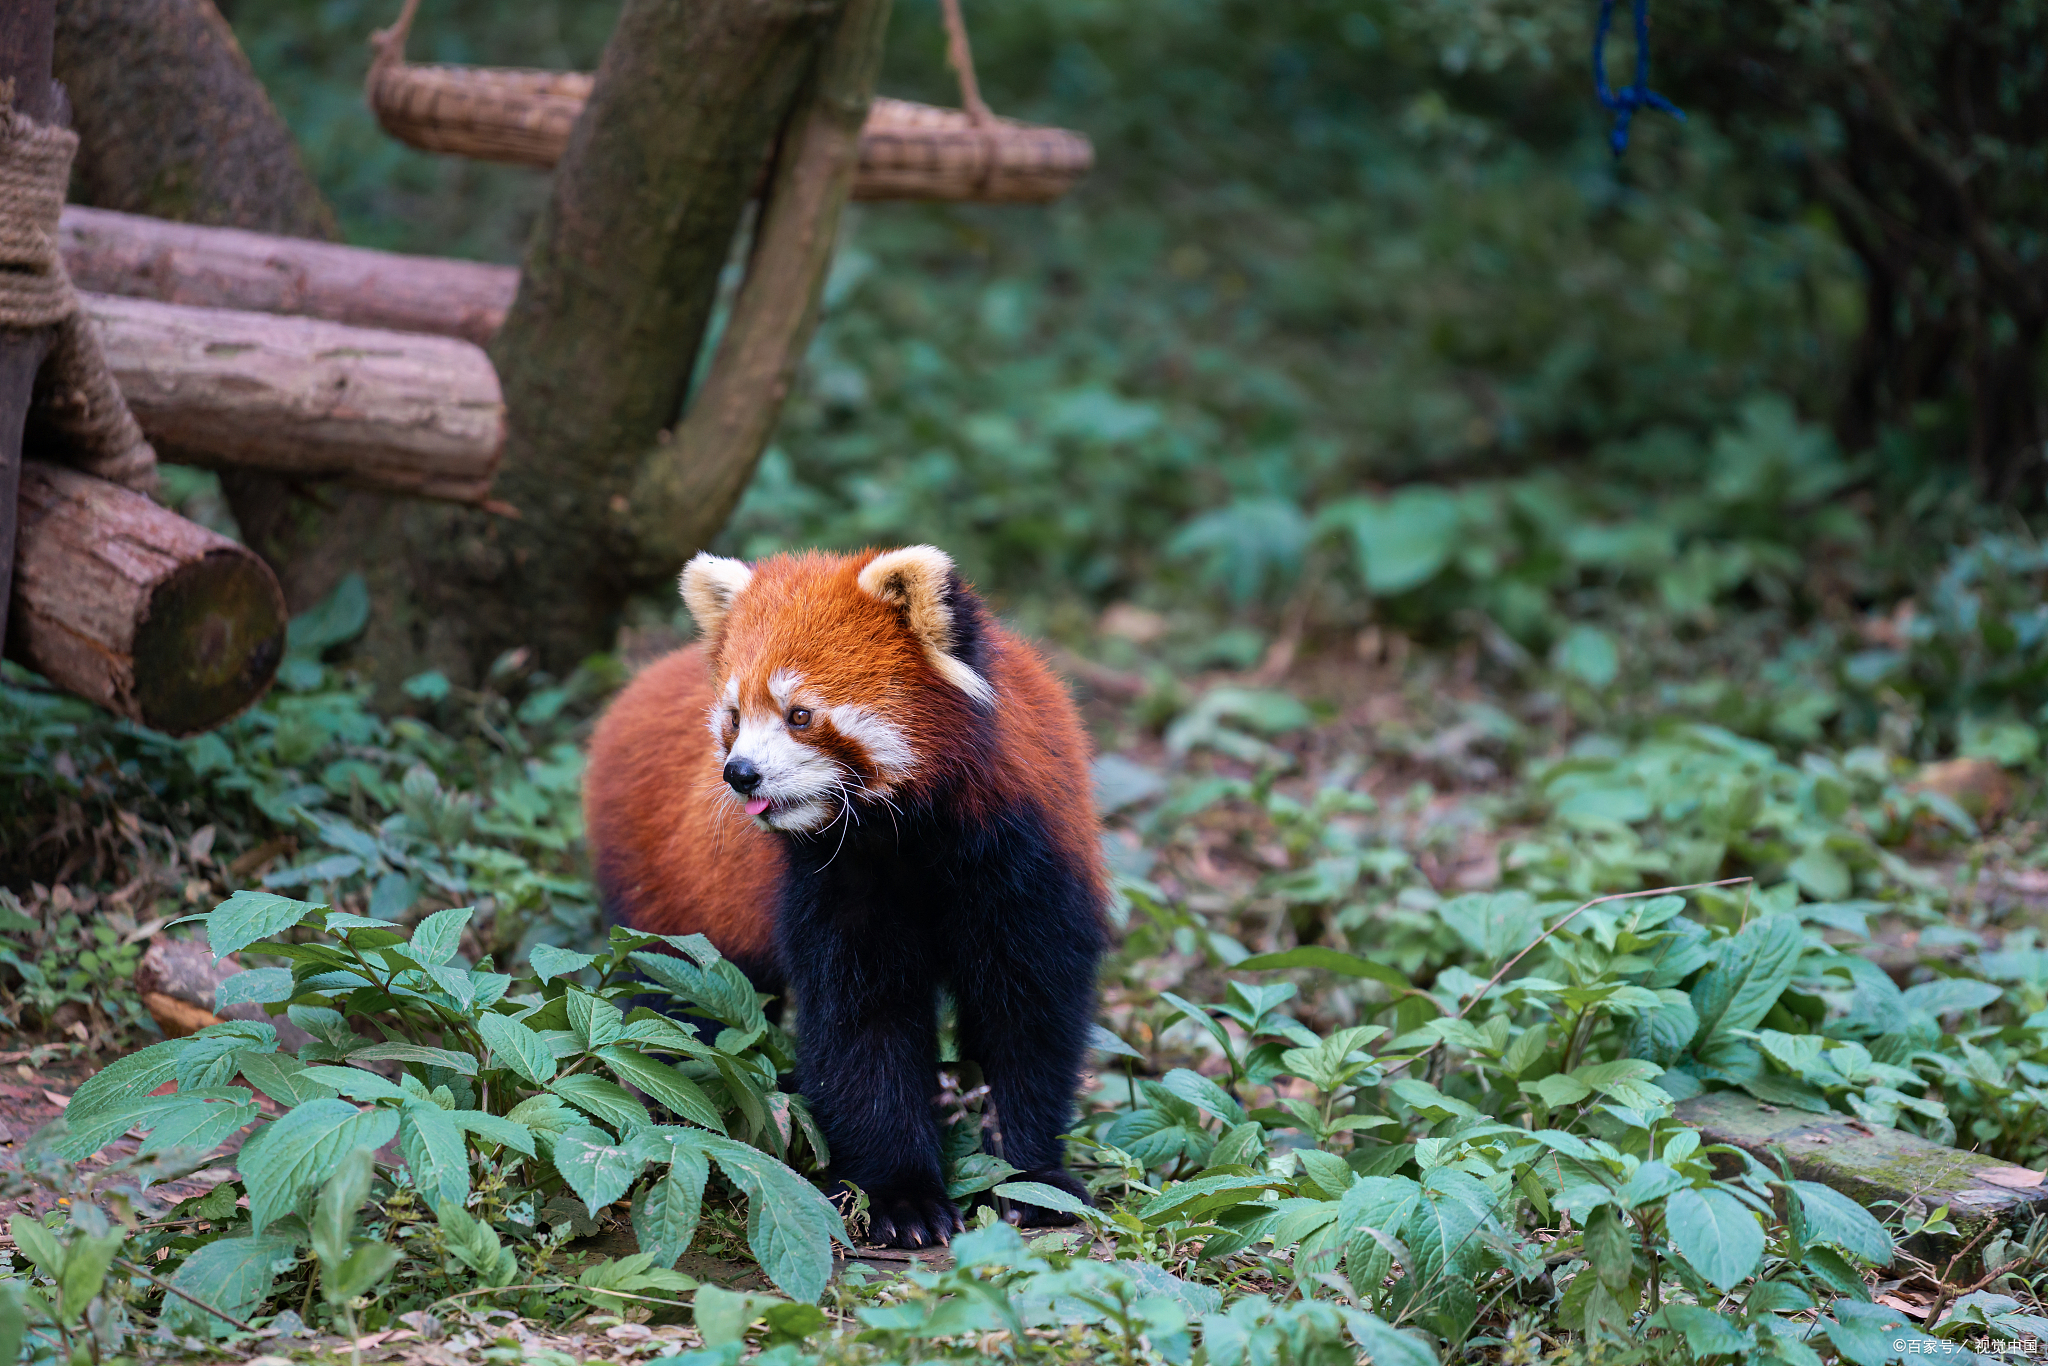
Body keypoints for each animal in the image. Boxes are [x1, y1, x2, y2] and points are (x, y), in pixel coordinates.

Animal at [581, 548, 1105, 1253]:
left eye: (800, 714)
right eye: (734, 717)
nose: (739, 773)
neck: (910, 835)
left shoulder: (1021, 859)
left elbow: (1027, 1013)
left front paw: (1033, 1180)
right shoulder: (833, 883)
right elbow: (863, 1027)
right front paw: (900, 1197)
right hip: (667, 895)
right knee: (682, 1005)